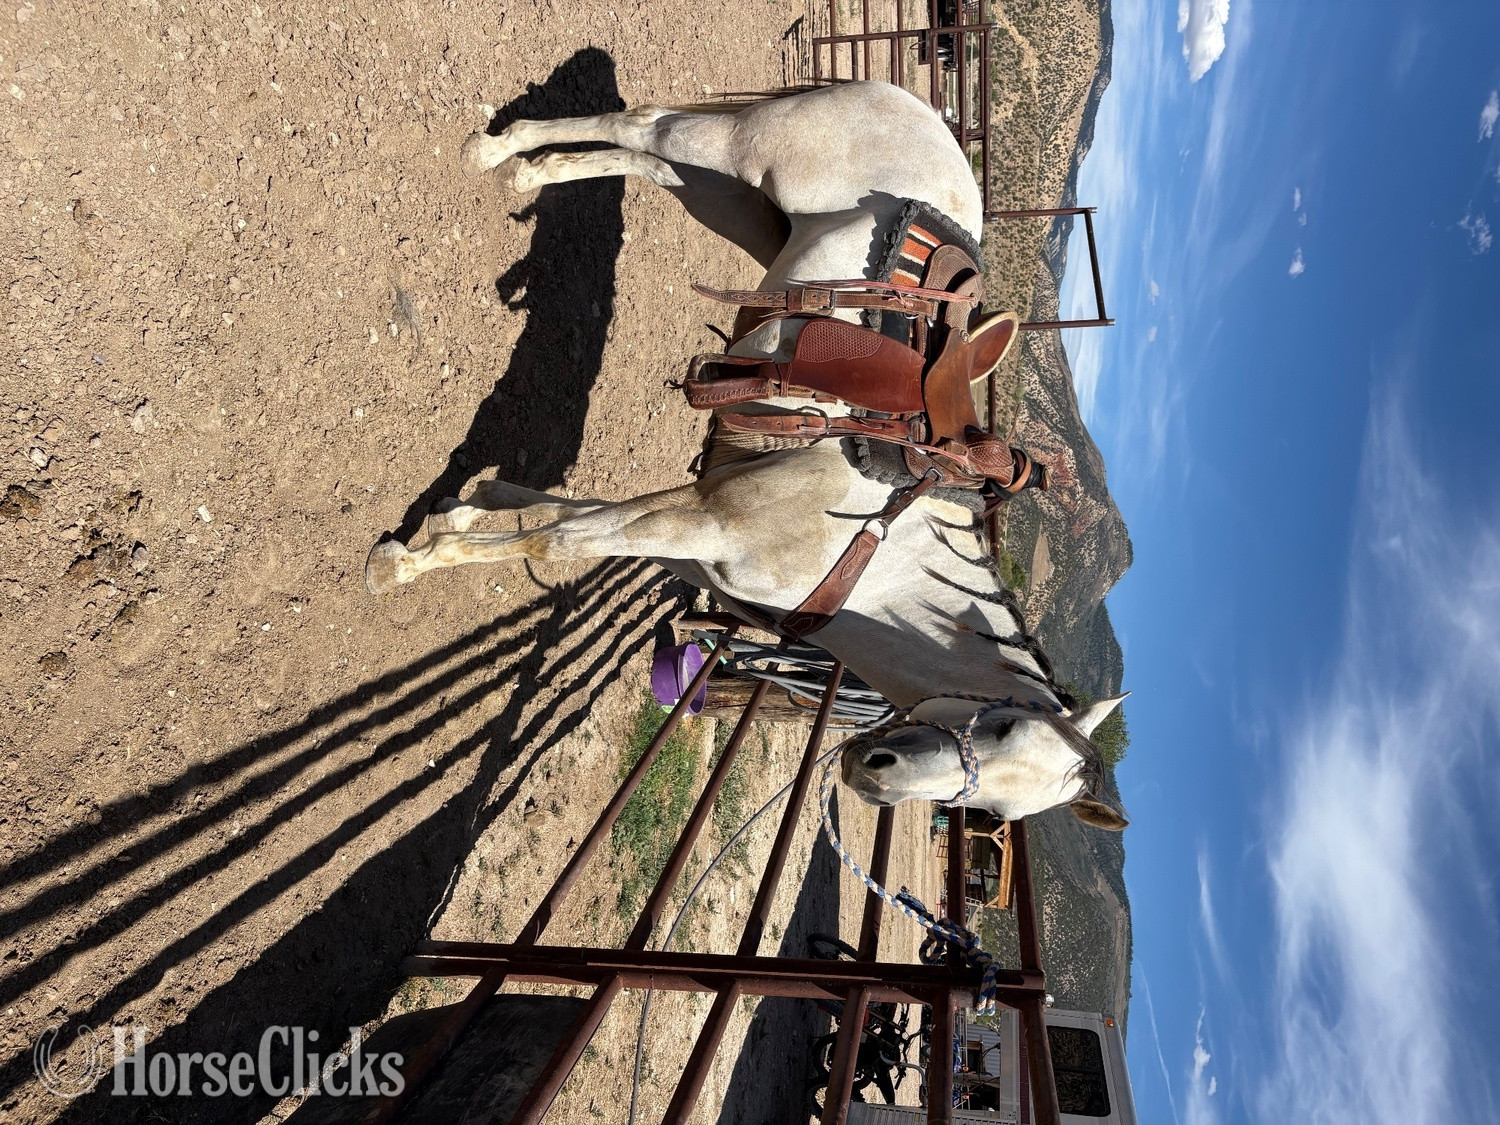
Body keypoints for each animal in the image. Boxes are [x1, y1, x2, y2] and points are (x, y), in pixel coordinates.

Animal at [364, 81, 1128, 831]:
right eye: (1002, 727)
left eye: (992, 810)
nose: (876, 772)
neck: (875, 554)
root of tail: (907, 101)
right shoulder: (703, 519)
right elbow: (559, 541)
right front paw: (403, 561)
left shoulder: (691, 541)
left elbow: (564, 516)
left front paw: (468, 508)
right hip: (733, 149)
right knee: (644, 124)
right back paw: (497, 150)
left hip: (727, 201)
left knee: (645, 161)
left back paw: (531, 171)